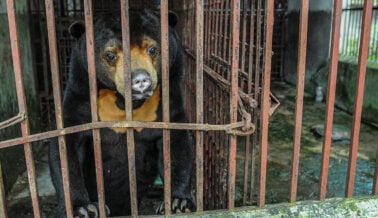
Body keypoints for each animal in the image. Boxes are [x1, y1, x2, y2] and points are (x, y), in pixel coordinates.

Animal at [49, 9, 195, 217]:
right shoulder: (79, 96)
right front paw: (84, 209)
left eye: (152, 49)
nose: (140, 80)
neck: (125, 102)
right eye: (110, 55)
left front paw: (178, 203)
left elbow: (177, 147)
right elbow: (66, 150)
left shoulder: (168, 101)